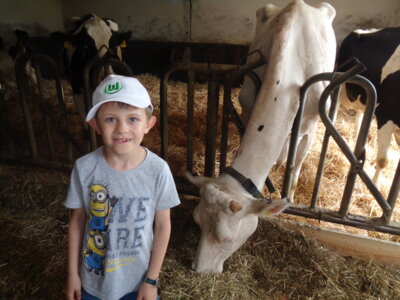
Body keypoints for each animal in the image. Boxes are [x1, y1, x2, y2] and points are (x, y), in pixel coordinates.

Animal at [186, 0, 336, 274]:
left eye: (227, 239)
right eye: (197, 221)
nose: (198, 269)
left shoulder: (310, 123)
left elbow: (296, 163)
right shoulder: (247, 104)